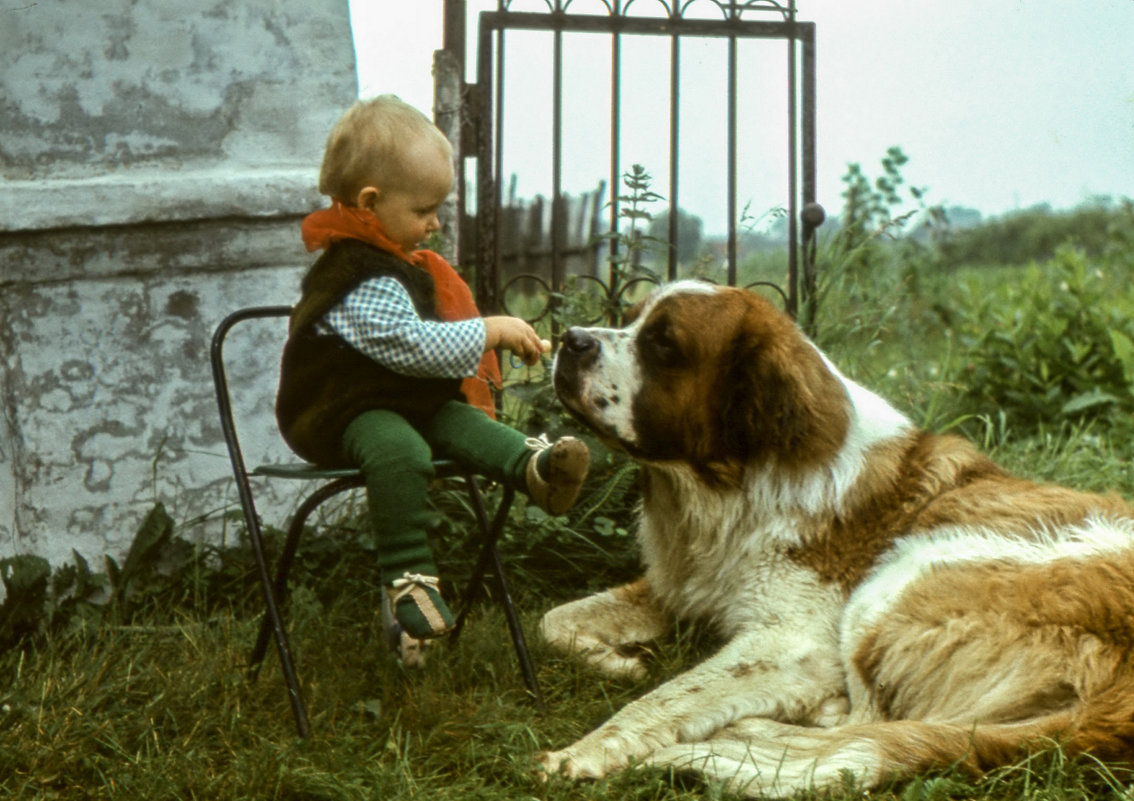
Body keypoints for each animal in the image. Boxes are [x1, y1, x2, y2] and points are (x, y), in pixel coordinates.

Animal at [537, 279, 1134, 794]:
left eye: (663, 343)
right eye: (629, 319)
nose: (570, 339)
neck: (739, 482)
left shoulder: (791, 642)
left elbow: (667, 696)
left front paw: (580, 753)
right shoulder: (679, 585)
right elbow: (554, 621)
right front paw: (619, 662)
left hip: (897, 581)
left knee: (862, 728)